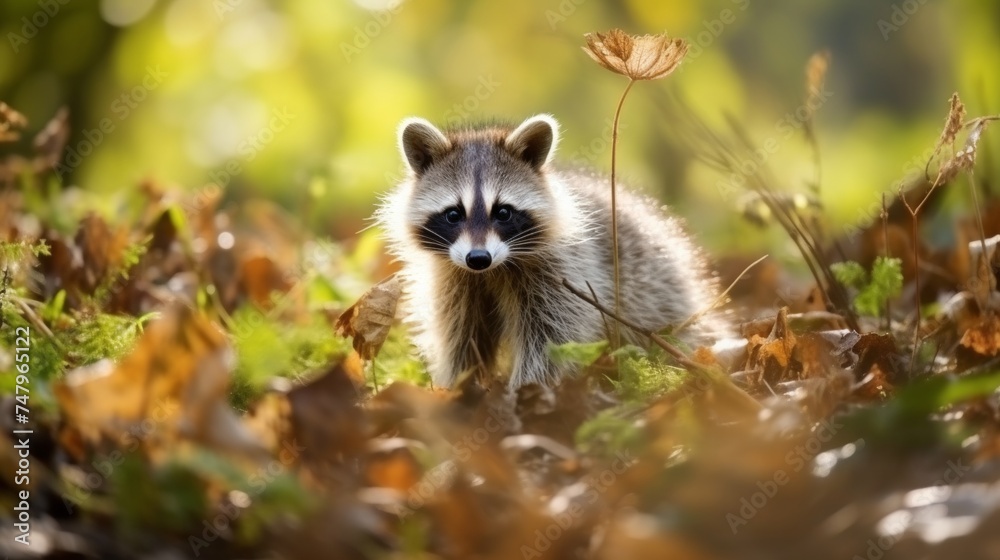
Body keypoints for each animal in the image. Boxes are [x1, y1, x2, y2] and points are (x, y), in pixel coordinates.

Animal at [377, 114, 725, 389]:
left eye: (503, 212)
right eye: (453, 214)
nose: (478, 258)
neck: (493, 271)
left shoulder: (564, 271)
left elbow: (551, 338)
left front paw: (525, 390)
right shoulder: (454, 278)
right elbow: (459, 335)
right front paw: (456, 386)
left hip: (663, 297)